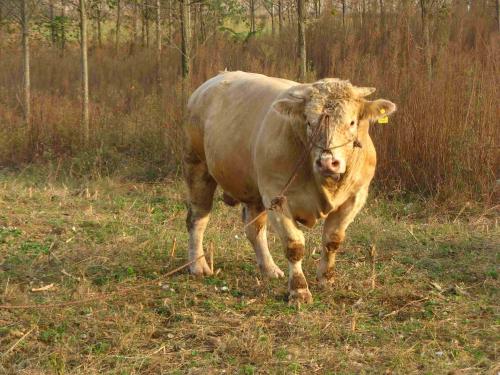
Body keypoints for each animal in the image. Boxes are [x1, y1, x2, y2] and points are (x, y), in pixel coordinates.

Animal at [183, 71, 394, 306]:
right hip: (197, 165)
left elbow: (333, 239)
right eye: (309, 122)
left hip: (254, 190)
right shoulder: (277, 195)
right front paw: (299, 290)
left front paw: (326, 279)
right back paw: (198, 265)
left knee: (254, 229)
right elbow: (294, 245)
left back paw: (269, 269)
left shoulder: (355, 196)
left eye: (352, 122)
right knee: (197, 219)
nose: (328, 162)